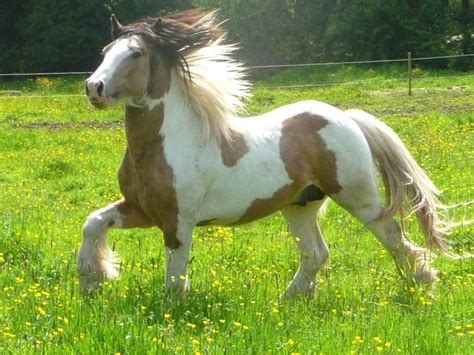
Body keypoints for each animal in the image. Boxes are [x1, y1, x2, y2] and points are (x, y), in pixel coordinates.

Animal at [78, 10, 462, 298]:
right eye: (106, 50)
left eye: (135, 54)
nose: (94, 87)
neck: (165, 145)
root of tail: (347, 117)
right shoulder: (141, 209)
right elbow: (93, 222)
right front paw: (92, 280)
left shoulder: (178, 221)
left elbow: (175, 278)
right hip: (300, 204)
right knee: (316, 253)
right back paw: (290, 299)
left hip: (359, 198)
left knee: (394, 236)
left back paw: (421, 286)